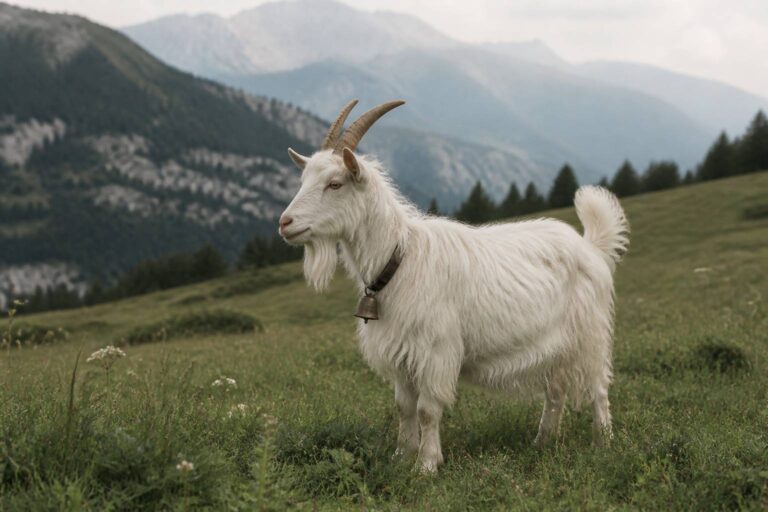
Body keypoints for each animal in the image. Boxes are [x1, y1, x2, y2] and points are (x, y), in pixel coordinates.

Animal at [279, 100, 629, 473]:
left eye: (335, 183)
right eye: (303, 180)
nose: (285, 223)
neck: (399, 258)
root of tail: (590, 247)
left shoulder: (435, 351)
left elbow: (427, 410)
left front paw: (427, 465)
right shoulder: (401, 354)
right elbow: (404, 408)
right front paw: (401, 457)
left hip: (589, 334)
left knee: (598, 386)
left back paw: (603, 442)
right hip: (555, 345)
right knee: (556, 391)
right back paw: (543, 442)